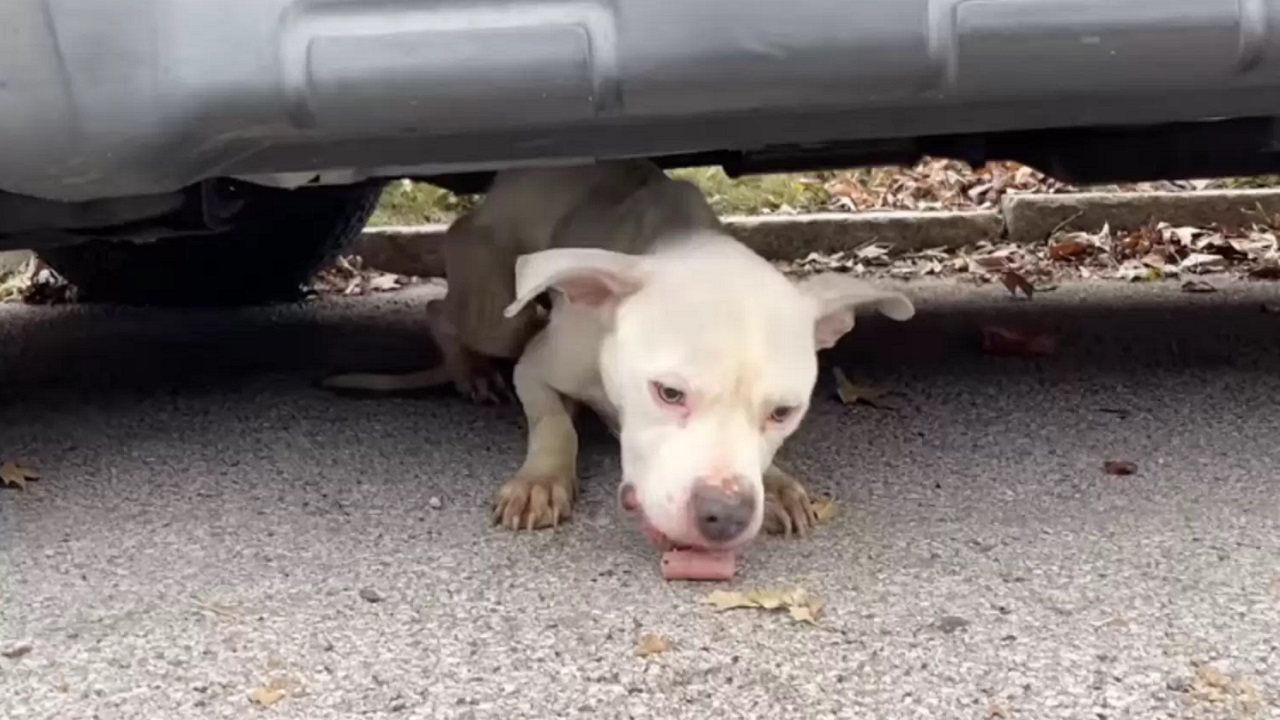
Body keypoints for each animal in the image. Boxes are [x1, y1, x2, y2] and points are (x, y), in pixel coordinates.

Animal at [325, 162, 916, 550]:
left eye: (783, 413)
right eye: (668, 393)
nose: (724, 516)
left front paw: (777, 482)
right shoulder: (535, 368)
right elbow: (553, 424)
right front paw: (541, 481)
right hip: (501, 316)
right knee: (440, 312)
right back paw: (470, 372)